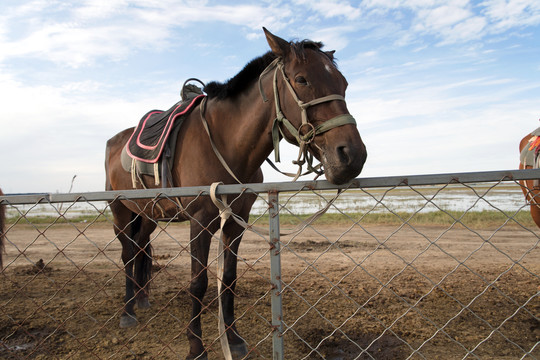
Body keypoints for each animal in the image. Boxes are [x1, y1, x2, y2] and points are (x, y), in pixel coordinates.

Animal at [104, 28, 368, 360]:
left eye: (343, 83)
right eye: (302, 79)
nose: (352, 155)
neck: (224, 143)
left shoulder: (235, 221)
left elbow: (228, 279)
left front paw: (233, 339)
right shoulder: (200, 221)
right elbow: (199, 282)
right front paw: (196, 346)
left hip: (148, 213)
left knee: (140, 247)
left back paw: (141, 300)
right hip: (120, 211)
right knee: (128, 253)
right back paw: (127, 312)